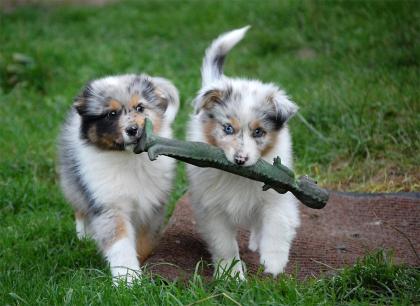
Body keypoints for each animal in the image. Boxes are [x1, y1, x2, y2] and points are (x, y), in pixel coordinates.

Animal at [57, 74, 179, 284]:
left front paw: (141, 266)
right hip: (72, 179)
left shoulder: (151, 206)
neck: (130, 159)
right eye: (111, 114)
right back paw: (84, 236)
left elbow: (144, 240)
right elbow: (120, 243)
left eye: (140, 107)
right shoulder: (109, 204)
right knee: (79, 206)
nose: (133, 130)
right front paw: (128, 280)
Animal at [188, 26, 302, 280]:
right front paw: (231, 273)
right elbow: (224, 244)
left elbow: (277, 224)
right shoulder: (213, 209)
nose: (240, 160)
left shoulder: (277, 196)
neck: (238, 176)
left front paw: (273, 263)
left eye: (259, 132)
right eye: (228, 128)